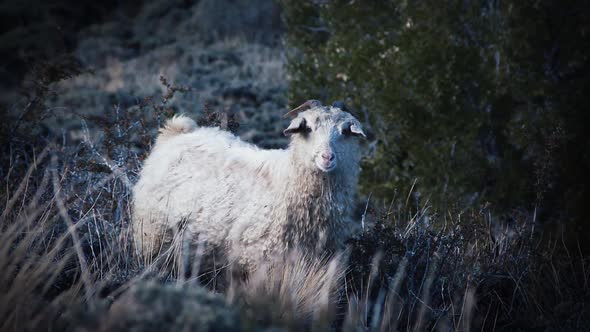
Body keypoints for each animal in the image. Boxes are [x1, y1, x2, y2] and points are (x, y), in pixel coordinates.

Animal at [132, 100, 368, 268]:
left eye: (345, 131)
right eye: (307, 128)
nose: (327, 157)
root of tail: (174, 133)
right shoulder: (260, 257)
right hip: (152, 233)